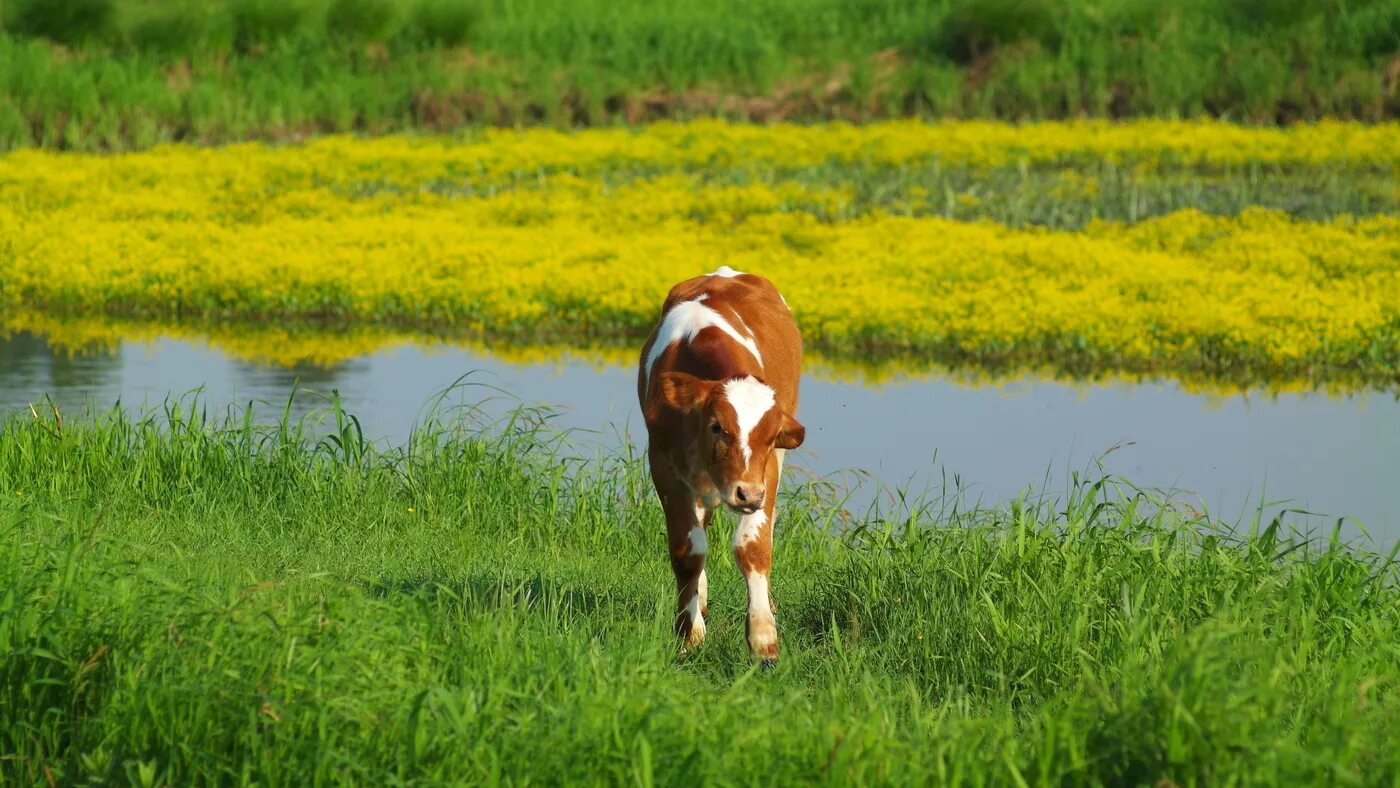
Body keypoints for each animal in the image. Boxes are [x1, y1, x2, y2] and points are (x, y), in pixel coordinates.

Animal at [641, 268, 806, 663]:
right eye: (717, 426)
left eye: (771, 434)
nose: (747, 494)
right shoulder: (665, 469)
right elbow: (688, 552)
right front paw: (689, 634)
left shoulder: (767, 471)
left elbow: (753, 546)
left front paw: (763, 638)